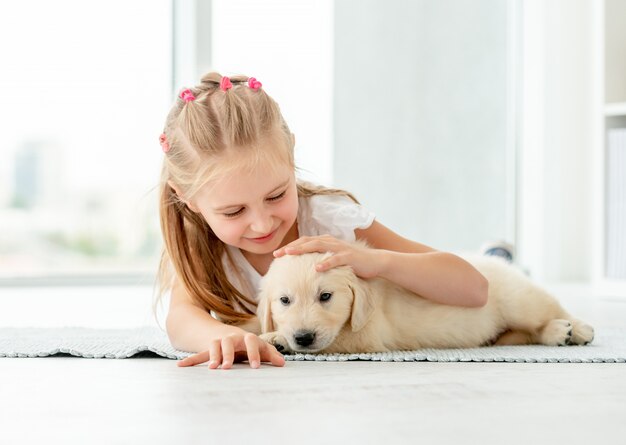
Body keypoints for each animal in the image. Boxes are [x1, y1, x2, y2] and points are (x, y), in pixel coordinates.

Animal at [256, 246, 592, 354]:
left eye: (326, 296)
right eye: (284, 300)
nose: (303, 337)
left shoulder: (366, 335)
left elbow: (335, 340)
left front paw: (276, 338)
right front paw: (271, 336)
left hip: (518, 300)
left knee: (550, 309)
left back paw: (574, 329)